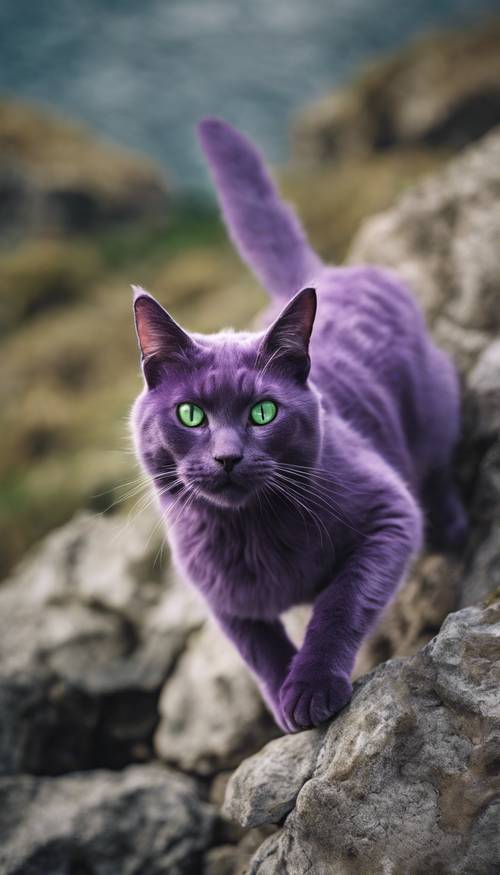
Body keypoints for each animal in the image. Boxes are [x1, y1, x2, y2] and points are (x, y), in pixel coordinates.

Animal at [131, 116, 466, 732]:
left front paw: (311, 688)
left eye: (263, 412)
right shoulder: (218, 596)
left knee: (435, 463)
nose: (228, 456)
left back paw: (452, 523)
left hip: (434, 399)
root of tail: (320, 273)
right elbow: (258, 647)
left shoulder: (388, 513)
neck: (251, 532)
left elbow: (339, 601)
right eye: (191, 414)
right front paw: (286, 697)